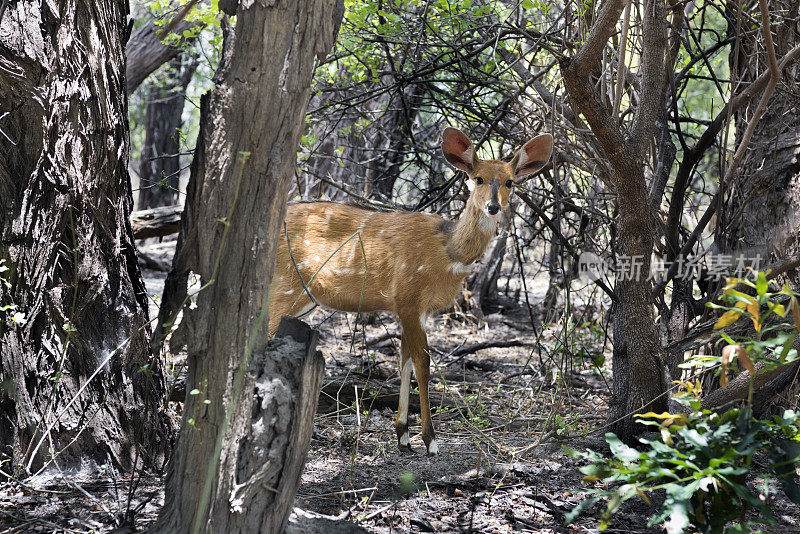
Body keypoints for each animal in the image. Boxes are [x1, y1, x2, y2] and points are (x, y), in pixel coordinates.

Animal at [268, 126, 552, 456]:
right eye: (478, 178)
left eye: (510, 182)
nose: (493, 206)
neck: (448, 253)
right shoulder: (408, 298)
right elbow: (423, 365)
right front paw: (430, 441)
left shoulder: (416, 309)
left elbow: (404, 361)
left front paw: (403, 436)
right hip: (286, 287)